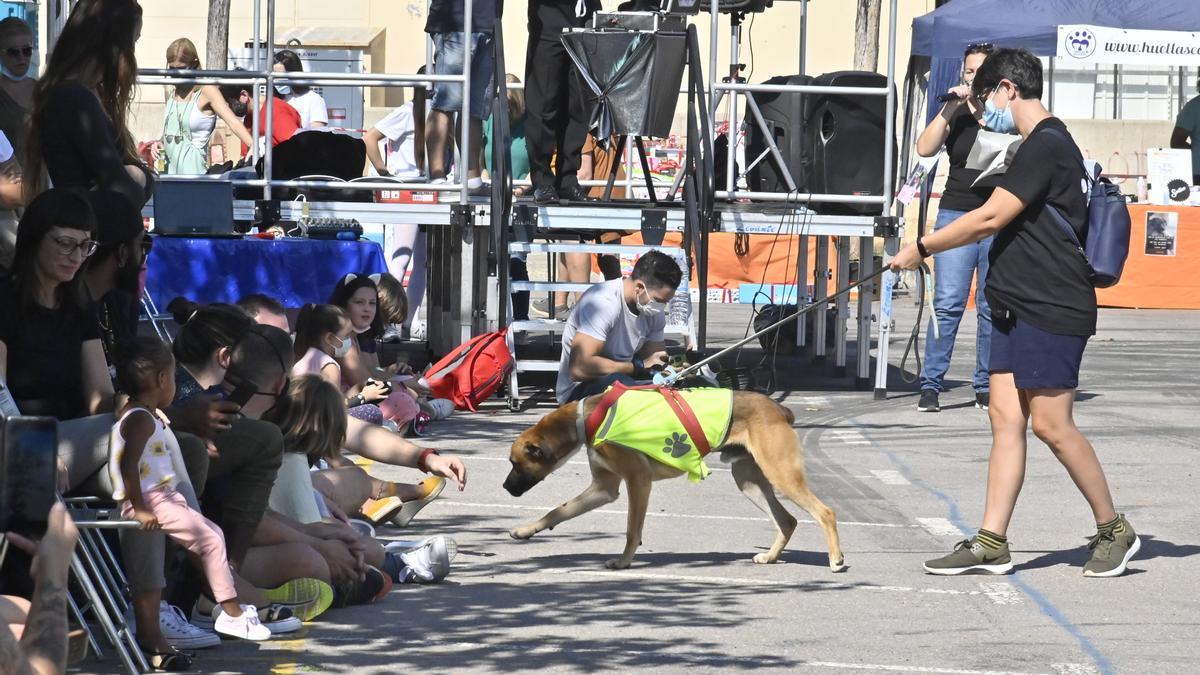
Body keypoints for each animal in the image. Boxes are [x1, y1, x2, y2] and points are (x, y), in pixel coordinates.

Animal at [501, 386, 849, 569]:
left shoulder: (637, 482)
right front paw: (526, 530)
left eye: (516, 464)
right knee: (787, 521)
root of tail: (779, 409)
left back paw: (835, 559)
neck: (584, 417)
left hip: (780, 474)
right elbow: (556, 511)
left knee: (825, 512)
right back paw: (772, 556)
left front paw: (624, 561)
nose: (505, 487)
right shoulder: (604, 488)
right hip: (749, 481)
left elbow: (632, 530)